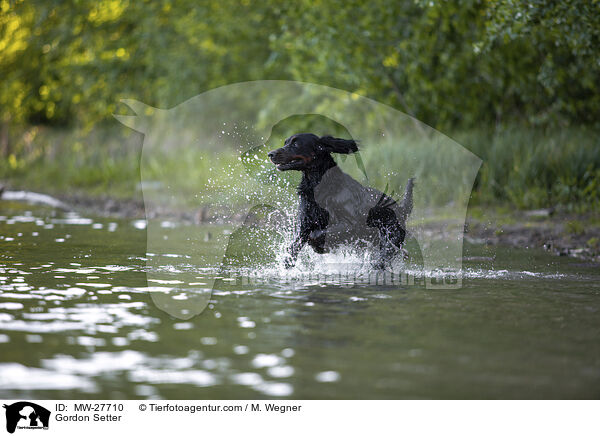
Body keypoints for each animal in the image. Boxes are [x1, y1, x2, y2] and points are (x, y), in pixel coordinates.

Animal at [270, 133, 414, 270]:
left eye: (295, 144)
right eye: (286, 142)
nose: (270, 154)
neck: (321, 186)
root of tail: (402, 209)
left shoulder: (351, 224)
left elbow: (317, 234)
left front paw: (318, 245)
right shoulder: (305, 223)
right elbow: (294, 247)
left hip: (390, 239)